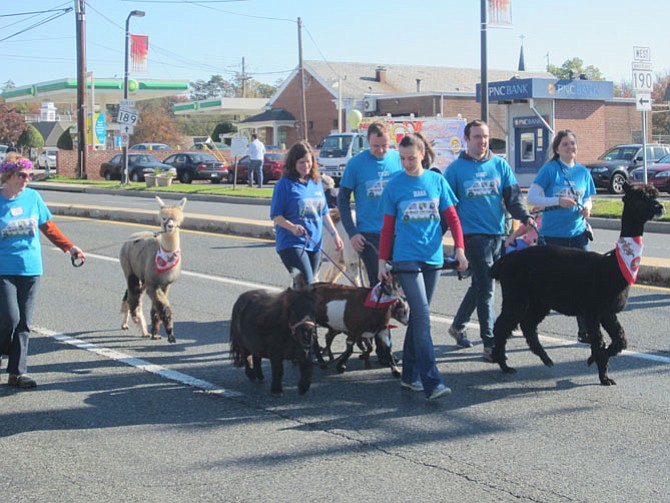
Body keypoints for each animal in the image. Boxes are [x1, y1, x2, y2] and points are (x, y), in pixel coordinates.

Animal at [490, 185, 668, 386]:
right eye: (640, 197)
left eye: (655, 194)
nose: (660, 206)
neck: (612, 268)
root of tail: (505, 260)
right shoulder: (592, 311)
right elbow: (599, 343)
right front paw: (603, 375)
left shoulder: (607, 312)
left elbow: (620, 340)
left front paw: (596, 363)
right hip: (516, 295)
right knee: (503, 326)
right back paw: (504, 364)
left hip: (539, 301)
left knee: (527, 325)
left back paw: (545, 359)